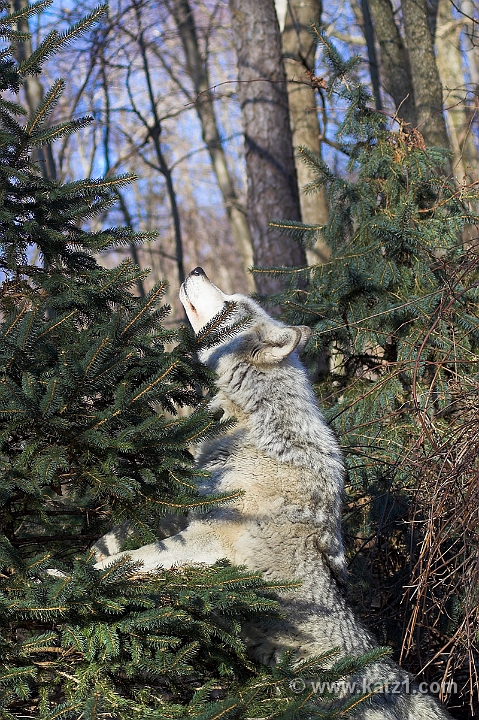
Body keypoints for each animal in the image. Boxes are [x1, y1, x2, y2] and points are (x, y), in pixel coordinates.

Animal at [96, 267, 452, 720]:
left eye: (233, 306)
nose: (196, 270)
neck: (255, 426)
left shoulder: (207, 536)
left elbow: (137, 557)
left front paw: (69, 576)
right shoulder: (187, 505)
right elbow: (123, 538)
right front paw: (87, 558)